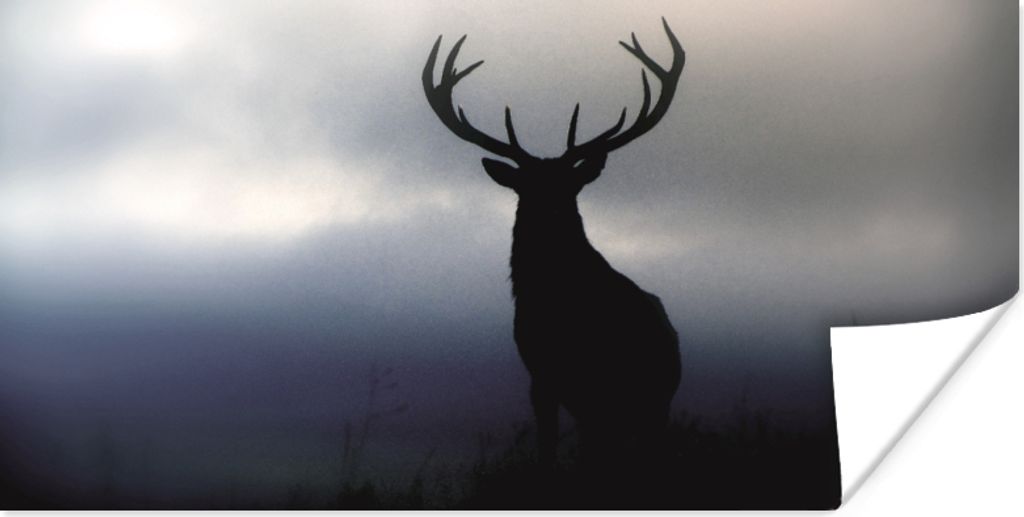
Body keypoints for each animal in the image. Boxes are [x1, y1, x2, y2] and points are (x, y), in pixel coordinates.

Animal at [423, 19, 684, 468]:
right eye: (526, 188)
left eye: (570, 187)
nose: (552, 213)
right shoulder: (541, 375)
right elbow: (547, 444)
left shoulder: (594, 382)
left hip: (652, 400)